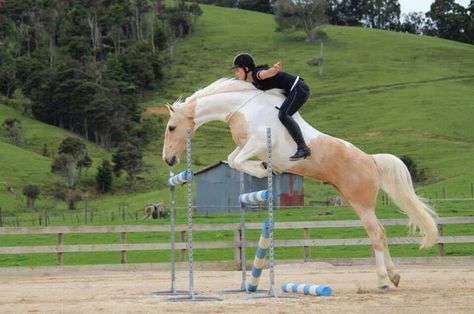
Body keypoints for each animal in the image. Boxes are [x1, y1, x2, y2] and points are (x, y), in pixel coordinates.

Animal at [162, 77, 436, 290]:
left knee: (376, 234)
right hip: (353, 201)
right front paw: (264, 169)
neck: (241, 108)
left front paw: (264, 170)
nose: (168, 159)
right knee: (381, 232)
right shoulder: (246, 146)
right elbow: (232, 159)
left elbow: (237, 160)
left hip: (361, 202)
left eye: (172, 127)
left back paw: (382, 280)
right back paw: (394, 275)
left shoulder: (258, 142)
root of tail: (370, 159)